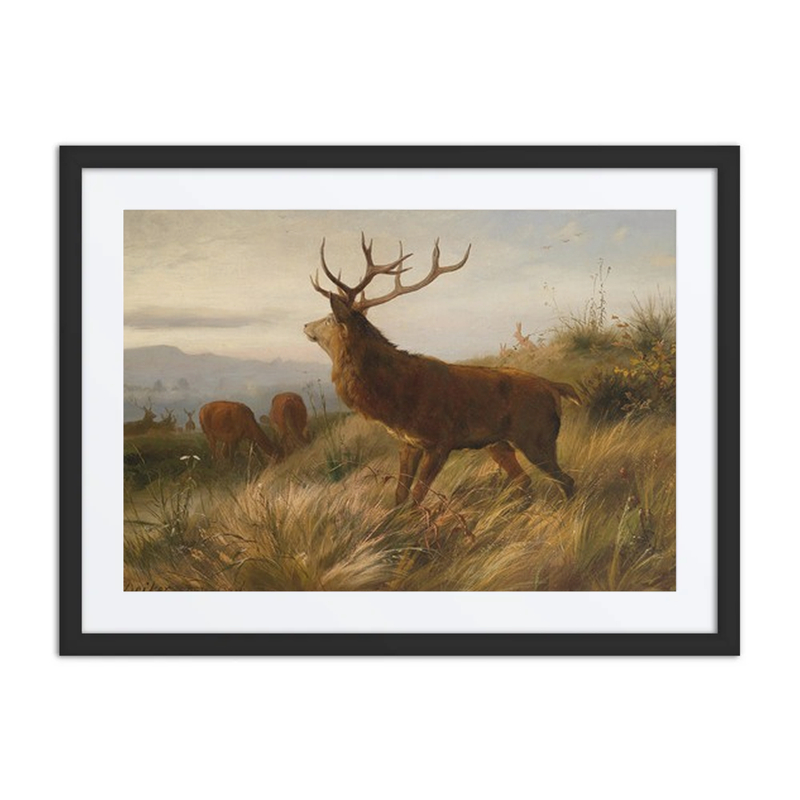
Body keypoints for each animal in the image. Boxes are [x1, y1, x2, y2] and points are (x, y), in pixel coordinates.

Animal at [304, 233, 580, 505]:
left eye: (329, 319)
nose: (306, 325)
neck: (395, 397)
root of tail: (554, 386)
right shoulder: (409, 443)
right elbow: (400, 496)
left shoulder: (441, 441)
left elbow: (416, 499)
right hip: (499, 443)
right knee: (525, 481)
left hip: (536, 436)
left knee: (566, 481)